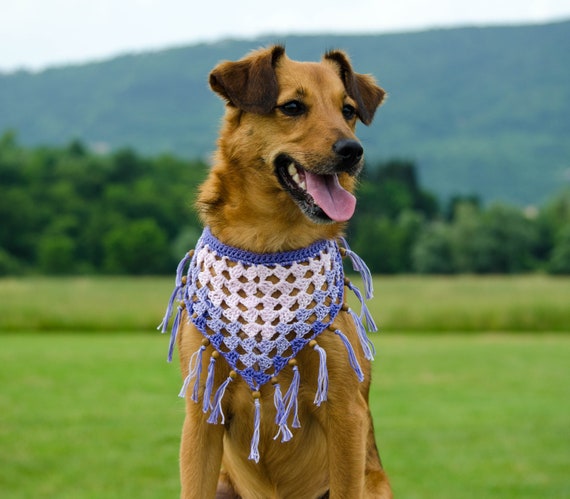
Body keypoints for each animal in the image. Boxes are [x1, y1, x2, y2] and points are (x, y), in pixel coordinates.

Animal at [172, 45, 391, 498]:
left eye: (348, 110)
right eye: (292, 107)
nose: (353, 150)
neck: (271, 246)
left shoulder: (345, 411)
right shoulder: (201, 414)